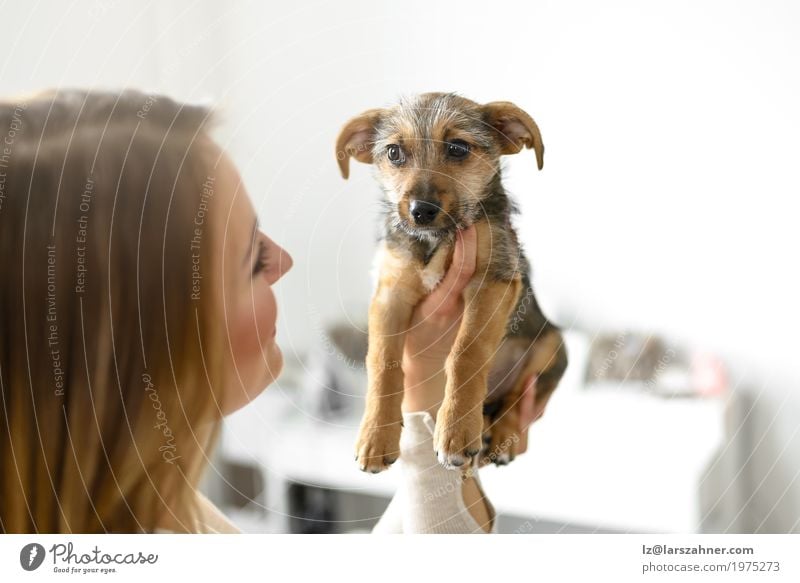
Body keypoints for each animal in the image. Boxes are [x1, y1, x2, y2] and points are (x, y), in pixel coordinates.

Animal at [334, 92, 564, 474]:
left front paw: (456, 430)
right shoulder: (390, 292)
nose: (421, 211)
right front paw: (376, 435)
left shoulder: (494, 279)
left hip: (552, 345)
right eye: (394, 152)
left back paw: (500, 436)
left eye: (458, 148)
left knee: (518, 398)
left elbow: (466, 351)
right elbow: (382, 362)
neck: (437, 239)